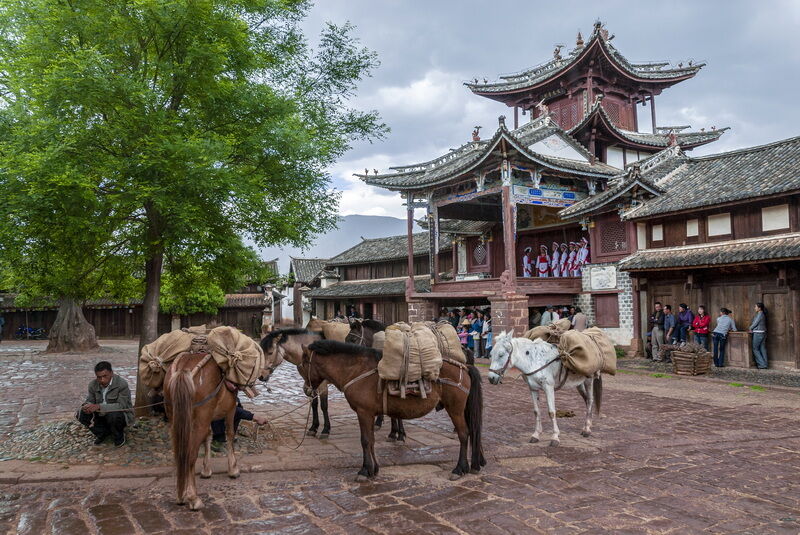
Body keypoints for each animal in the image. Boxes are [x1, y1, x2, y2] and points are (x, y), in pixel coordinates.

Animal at [162, 344, 282, 510]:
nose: (265, 375)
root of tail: (183, 371)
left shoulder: (207, 419)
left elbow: (209, 437)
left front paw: (206, 470)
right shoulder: (230, 409)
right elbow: (230, 434)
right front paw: (233, 469)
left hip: (176, 420)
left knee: (179, 453)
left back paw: (180, 496)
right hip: (197, 422)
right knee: (190, 455)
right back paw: (193, 498)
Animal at [300, 342, 488, 484]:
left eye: (302, 365)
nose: (306, 390)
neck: (356, 370)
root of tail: (465, 367)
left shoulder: (363, 412)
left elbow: (365, 440)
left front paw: (364, 471)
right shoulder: (370, 414)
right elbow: (371, 440)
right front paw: (374, 469)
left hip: (455, 409)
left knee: (464, 434)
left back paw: (459, 469)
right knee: (471, 432)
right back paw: (472, 466)